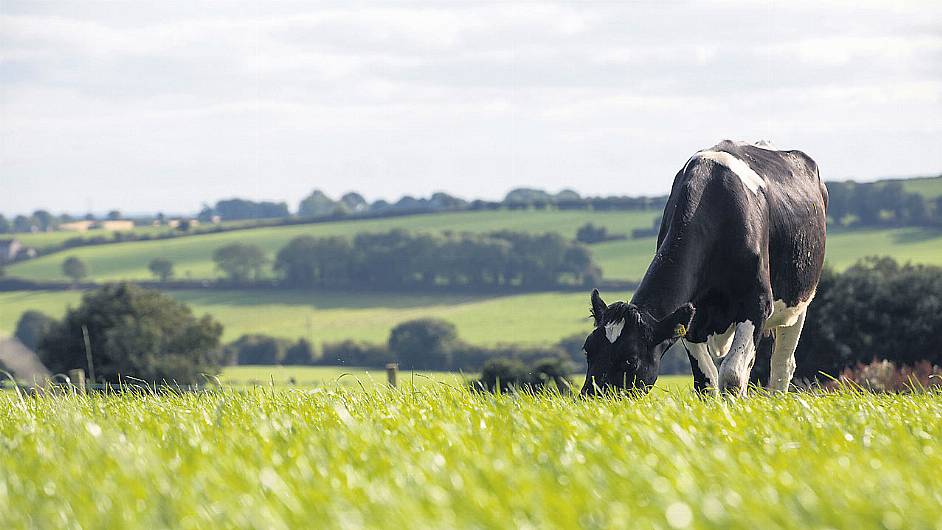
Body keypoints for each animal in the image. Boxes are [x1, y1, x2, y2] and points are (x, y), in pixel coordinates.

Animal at [580, 138, 828, 394]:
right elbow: (706, 381)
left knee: (782, 363)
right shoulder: (692, 316)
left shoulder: (757, 303)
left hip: (798, 301)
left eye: (631, 360)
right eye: (588, 349)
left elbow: (732, 375)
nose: (592, 398)